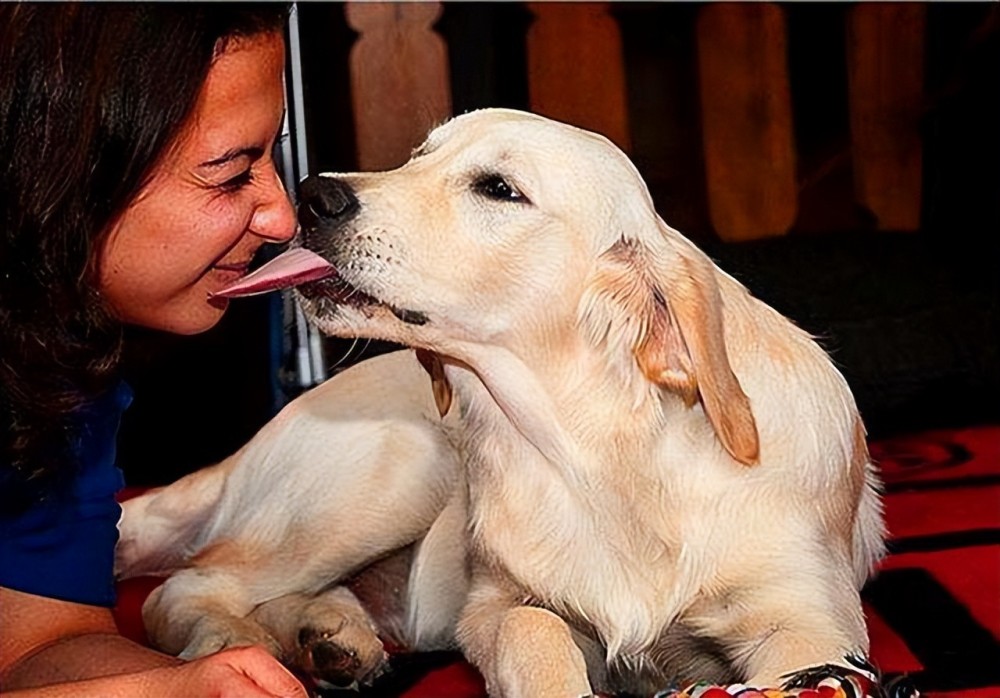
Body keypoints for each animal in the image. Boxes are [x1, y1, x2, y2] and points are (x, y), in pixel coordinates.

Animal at [117, 106, 884, 692]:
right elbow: (532, 629)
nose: (312, 195)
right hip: (396, 470)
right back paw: (232, 649)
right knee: (184, 588)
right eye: (418, 157)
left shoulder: (812, 623)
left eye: (498, 188)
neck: (602, 455)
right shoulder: (493, 607)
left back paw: (330, 636)